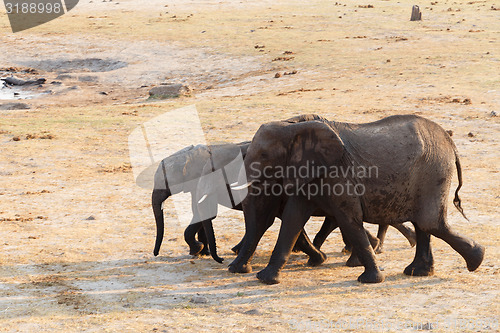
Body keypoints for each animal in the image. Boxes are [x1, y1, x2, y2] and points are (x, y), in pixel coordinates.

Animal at [229, 113, 484, 282]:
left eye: (264, 155)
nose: (237, 269)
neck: (294, 125)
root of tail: (451, 142)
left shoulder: (337, 173)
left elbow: (348, 219)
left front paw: (370, 279)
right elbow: (293, 219)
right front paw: (265, 278)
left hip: (434, 170)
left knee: (429, 222)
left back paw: (476, 260)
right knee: (424, 223)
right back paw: (420, 272)